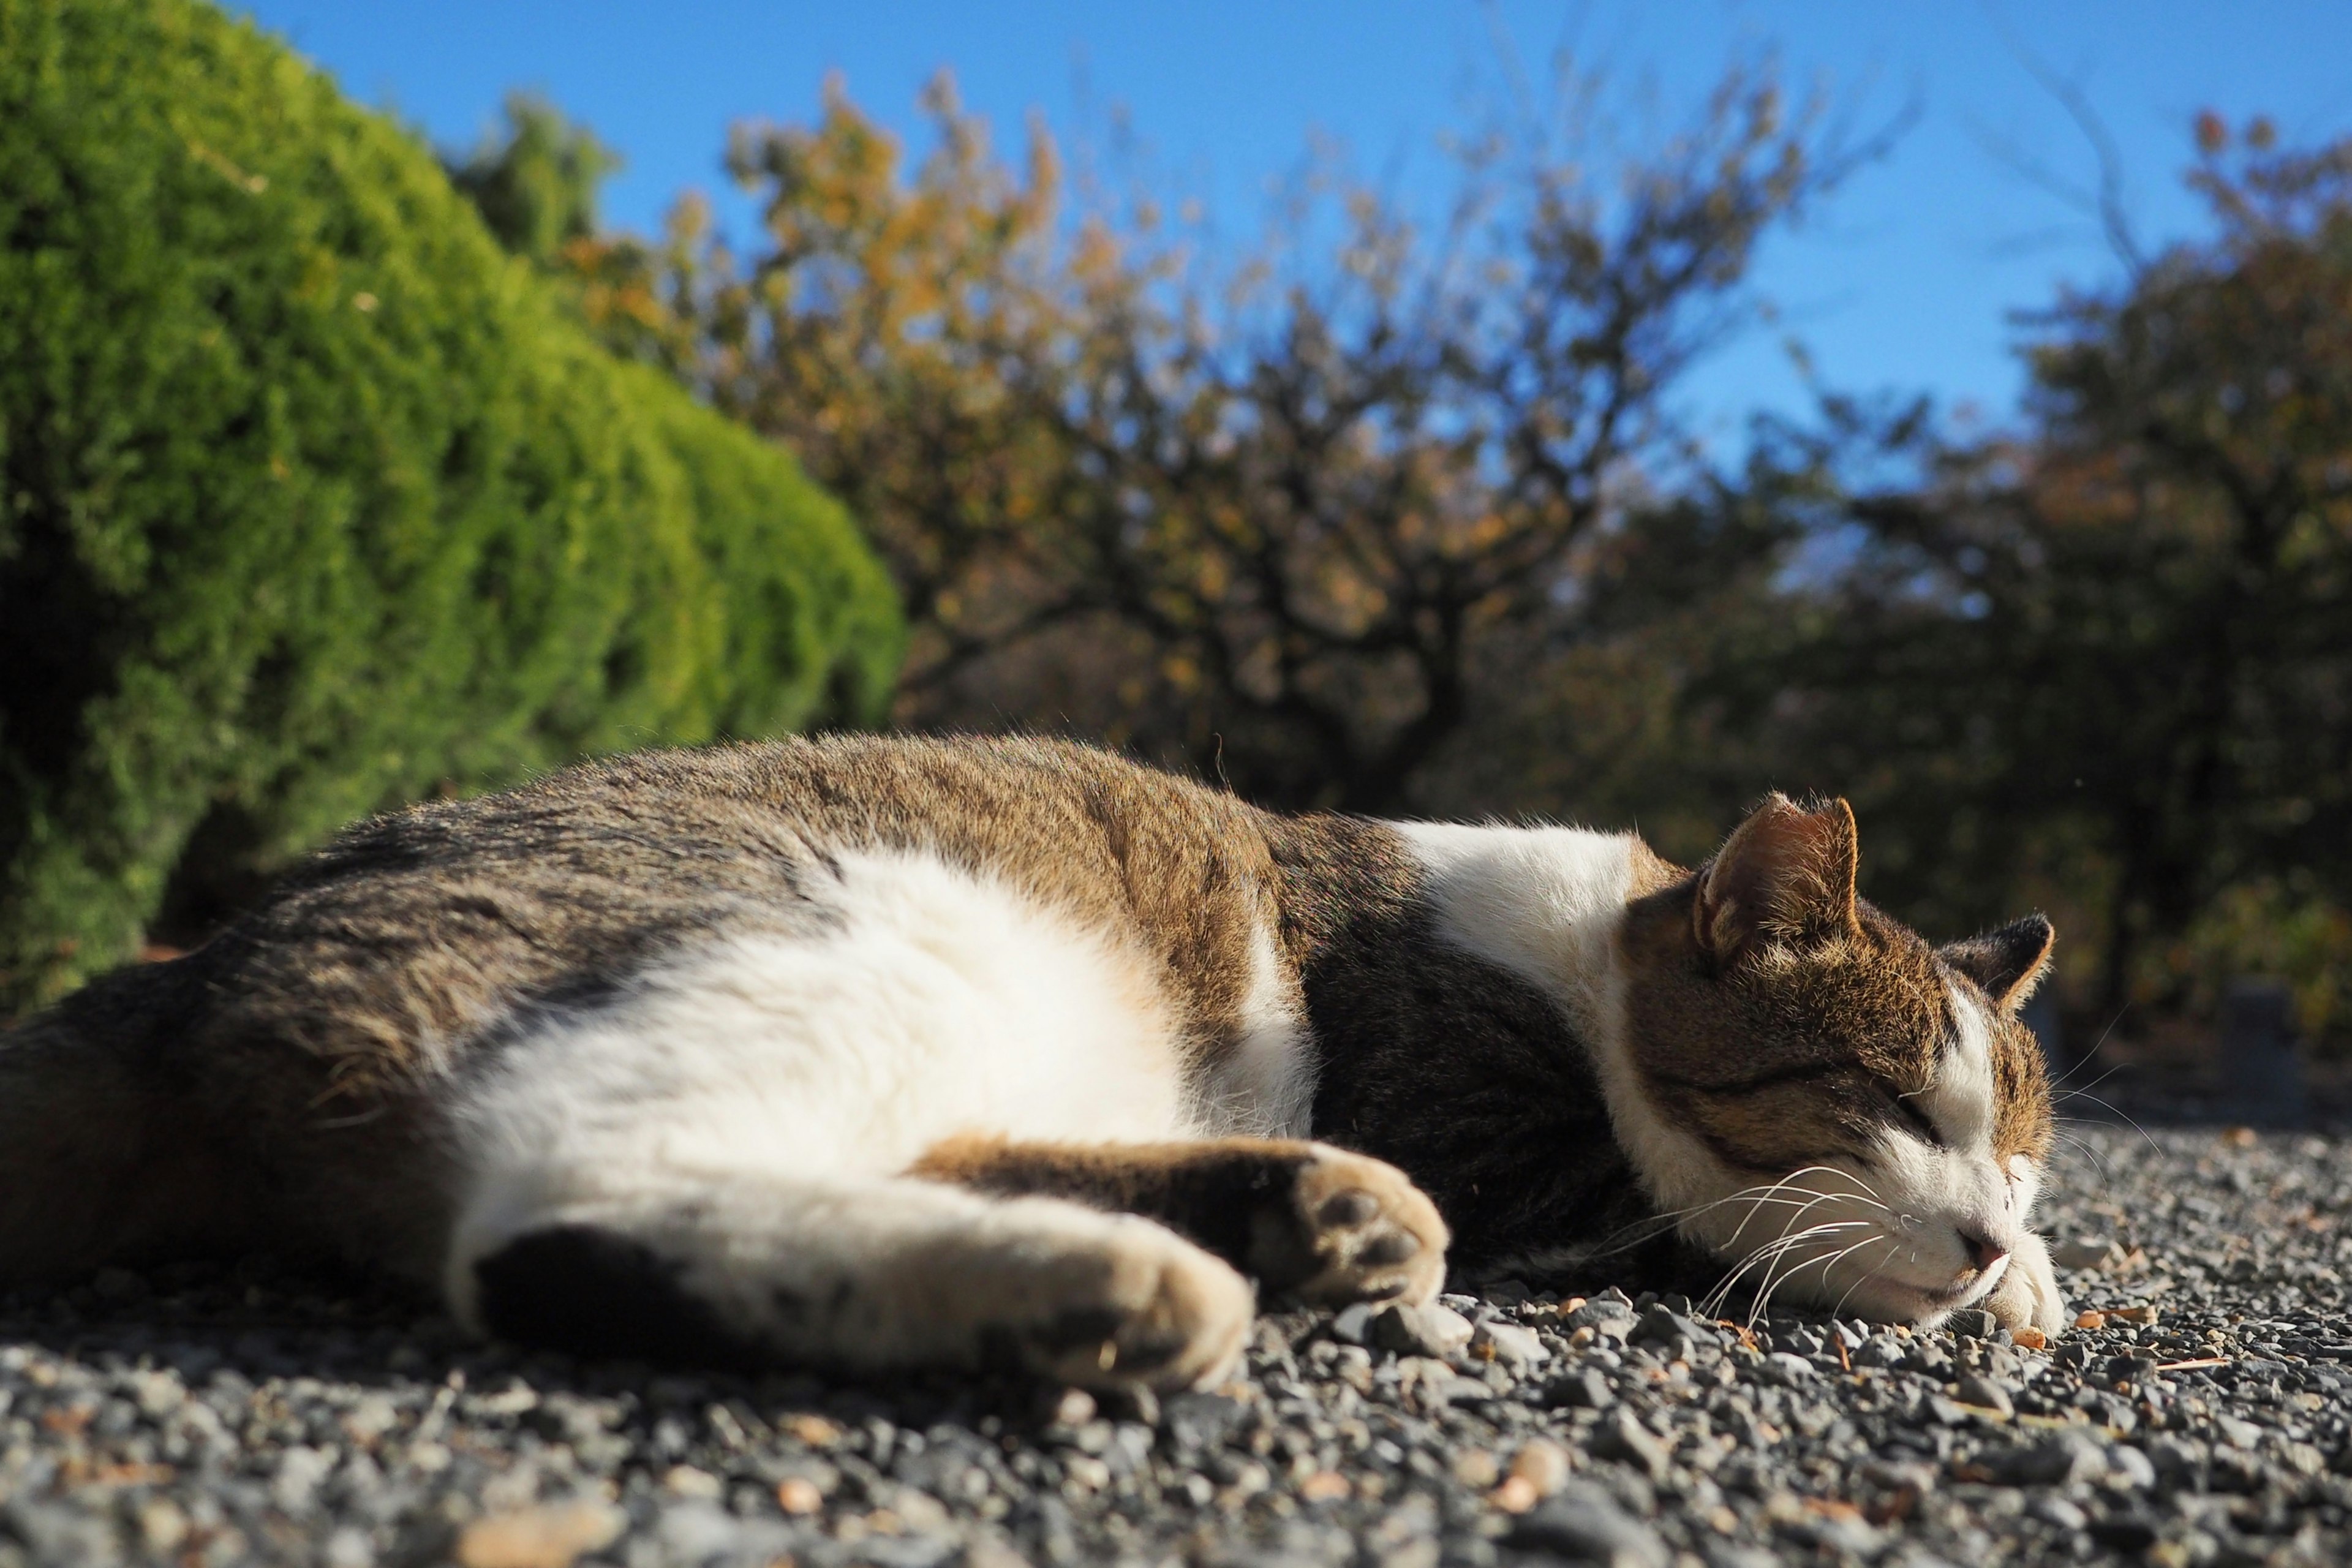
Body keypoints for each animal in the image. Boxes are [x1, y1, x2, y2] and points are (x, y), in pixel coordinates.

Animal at [0, 738, 2060, 1382]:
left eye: (2018, 1145)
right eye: (1885, 1103)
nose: (1983, 1225)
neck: (1575, 953)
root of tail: (192, 965)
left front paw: (2026, 1268)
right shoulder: (1500, 1144)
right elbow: (1697, 1214)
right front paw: (1957, 1272)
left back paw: (1292, 1217)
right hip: (853, 941)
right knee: (559, 1217)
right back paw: (1113, 1285)